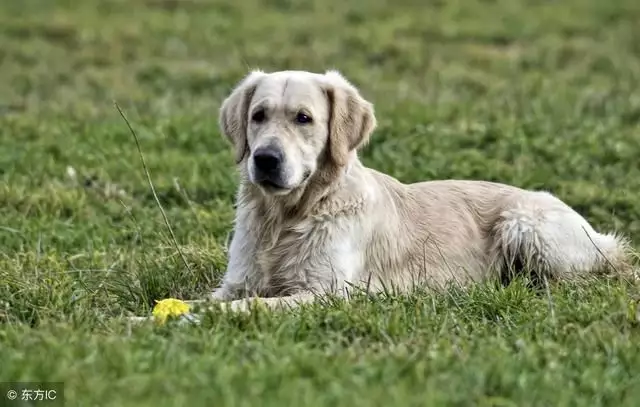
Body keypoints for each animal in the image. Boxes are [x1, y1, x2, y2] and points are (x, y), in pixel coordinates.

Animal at [192, 68, 632, 314]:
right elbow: (205, 300)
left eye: (303, 118)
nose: (265, 159)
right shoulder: (237, 282)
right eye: (258, 116)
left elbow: (247, 306)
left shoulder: (327, 292)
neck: (286, 216)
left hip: (524, 224)